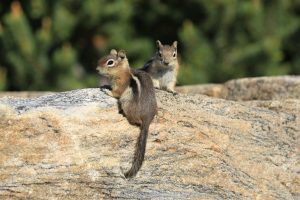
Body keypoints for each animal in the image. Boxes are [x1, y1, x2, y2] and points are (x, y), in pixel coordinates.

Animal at [96, 49, 158, 177]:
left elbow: (116, 93)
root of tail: (147, 118)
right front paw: (105, 85)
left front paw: (106, 91)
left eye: (110, 62)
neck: (123, 71)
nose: (96, 69)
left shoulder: (120, 85)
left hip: (126, 102)